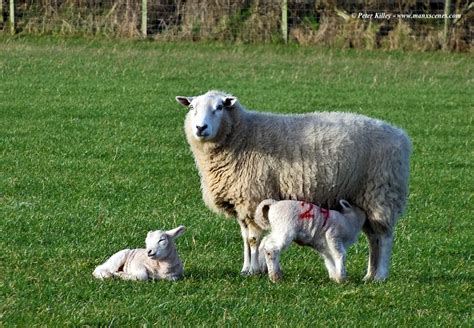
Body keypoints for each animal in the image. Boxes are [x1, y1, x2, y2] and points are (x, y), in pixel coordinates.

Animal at [175, 90, 412, 282]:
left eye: (220, 107)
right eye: (192, 107)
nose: (200, 128)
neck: (242, 136)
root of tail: (401, 136)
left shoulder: (253, 197)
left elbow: (253, 239)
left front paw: (253, 271)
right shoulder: (241, 203)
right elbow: (244, 239)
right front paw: (245, 268)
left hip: (382, 192)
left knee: (384, 237)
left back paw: (380, 276)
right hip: (365, 198)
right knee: (373, 238)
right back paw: (369, 275)